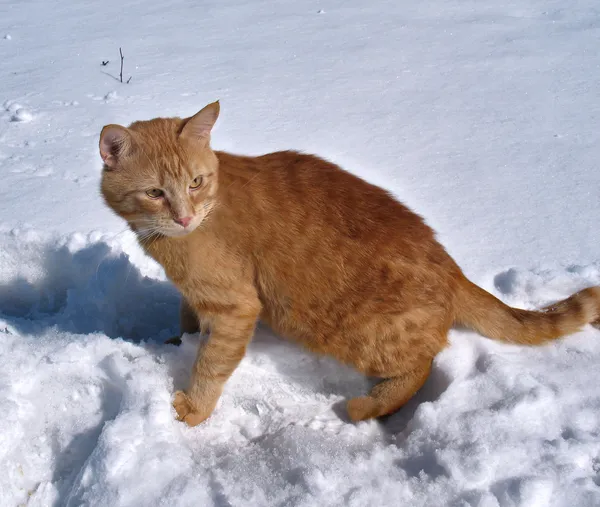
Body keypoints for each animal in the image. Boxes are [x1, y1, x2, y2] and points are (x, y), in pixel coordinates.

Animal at [99, 101, 600, 426]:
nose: (184, 216)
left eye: (196, 183)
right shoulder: (195, 294)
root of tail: (453, 270)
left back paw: (371, 407)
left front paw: (194, 410)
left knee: (422, 363)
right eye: (155, 192)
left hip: (346, 328)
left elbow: (210, 363)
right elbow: (187, 320)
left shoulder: (235, 305)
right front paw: (176, 341)